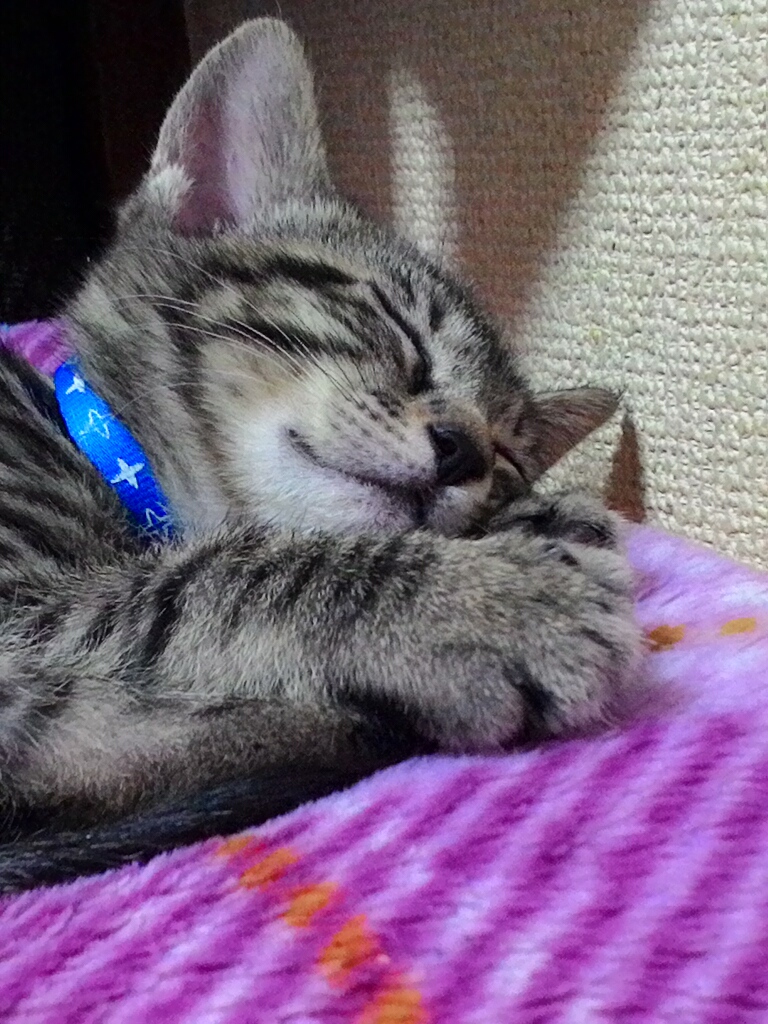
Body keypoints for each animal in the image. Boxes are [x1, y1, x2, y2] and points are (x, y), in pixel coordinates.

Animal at [0, 19, 640, 892]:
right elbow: (209, 583)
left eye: (507, 452)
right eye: (399, 329)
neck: (93, 445)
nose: (463, 452)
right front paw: (495, 601)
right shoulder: (22, 612)